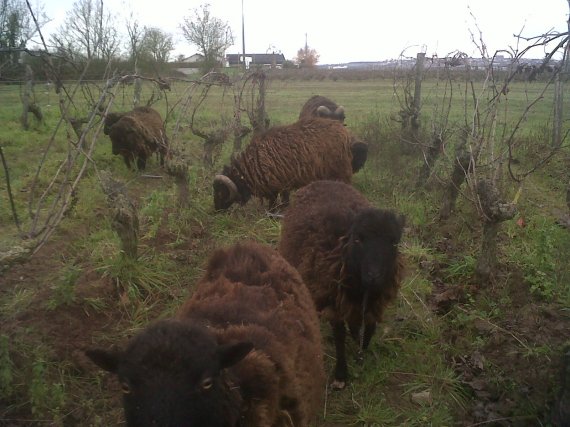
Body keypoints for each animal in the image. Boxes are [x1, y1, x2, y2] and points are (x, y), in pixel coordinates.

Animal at [213, 117, 350, 212]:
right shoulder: (281, 185)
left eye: (220, 192)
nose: (216, 210)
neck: (253, 163)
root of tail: (343, 131)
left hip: (340, 172)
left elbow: (278, 203)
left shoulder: (280, 185)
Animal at [276, 181, 402, 392]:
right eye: (358, 239)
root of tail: (324, 181)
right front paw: (341, 374)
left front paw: (361, 345)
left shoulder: (373, 302)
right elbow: (340, 338)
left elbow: (369, 328)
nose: (374, 277)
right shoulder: (334, 302)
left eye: (394, 242)